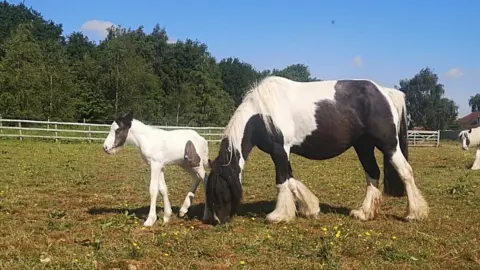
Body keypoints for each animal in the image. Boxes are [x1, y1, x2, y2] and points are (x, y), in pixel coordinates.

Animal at [204, 75, 430, 224]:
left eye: (220, 189)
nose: (216, 220)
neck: (262, 114)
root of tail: (385, 92)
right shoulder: (282, 153)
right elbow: (291, 180)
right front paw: (311, 208)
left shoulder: (279, 151)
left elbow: (282, 181)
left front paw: (279, 216)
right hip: (363, 146)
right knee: (373, 174)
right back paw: (364, 213)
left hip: (388, 145)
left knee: (405, 172)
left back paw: (414, 213)